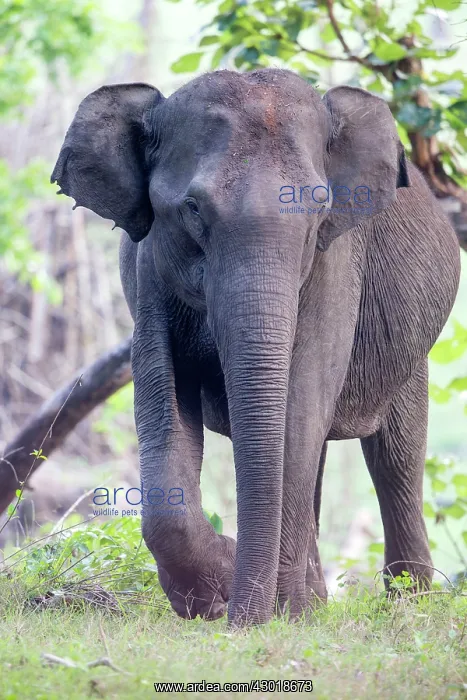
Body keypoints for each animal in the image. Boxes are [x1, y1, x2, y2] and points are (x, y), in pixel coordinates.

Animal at [51, 68, 461, 627]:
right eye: (192, 210)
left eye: (319, 209)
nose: (241, 623)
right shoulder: (148, 268)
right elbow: (163, 391)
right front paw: (215, 593)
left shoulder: (335, 261)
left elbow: (302, 398)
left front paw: (275, 610)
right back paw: (317, 600)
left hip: (410, 347)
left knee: (394, 455)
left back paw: (406, 605)